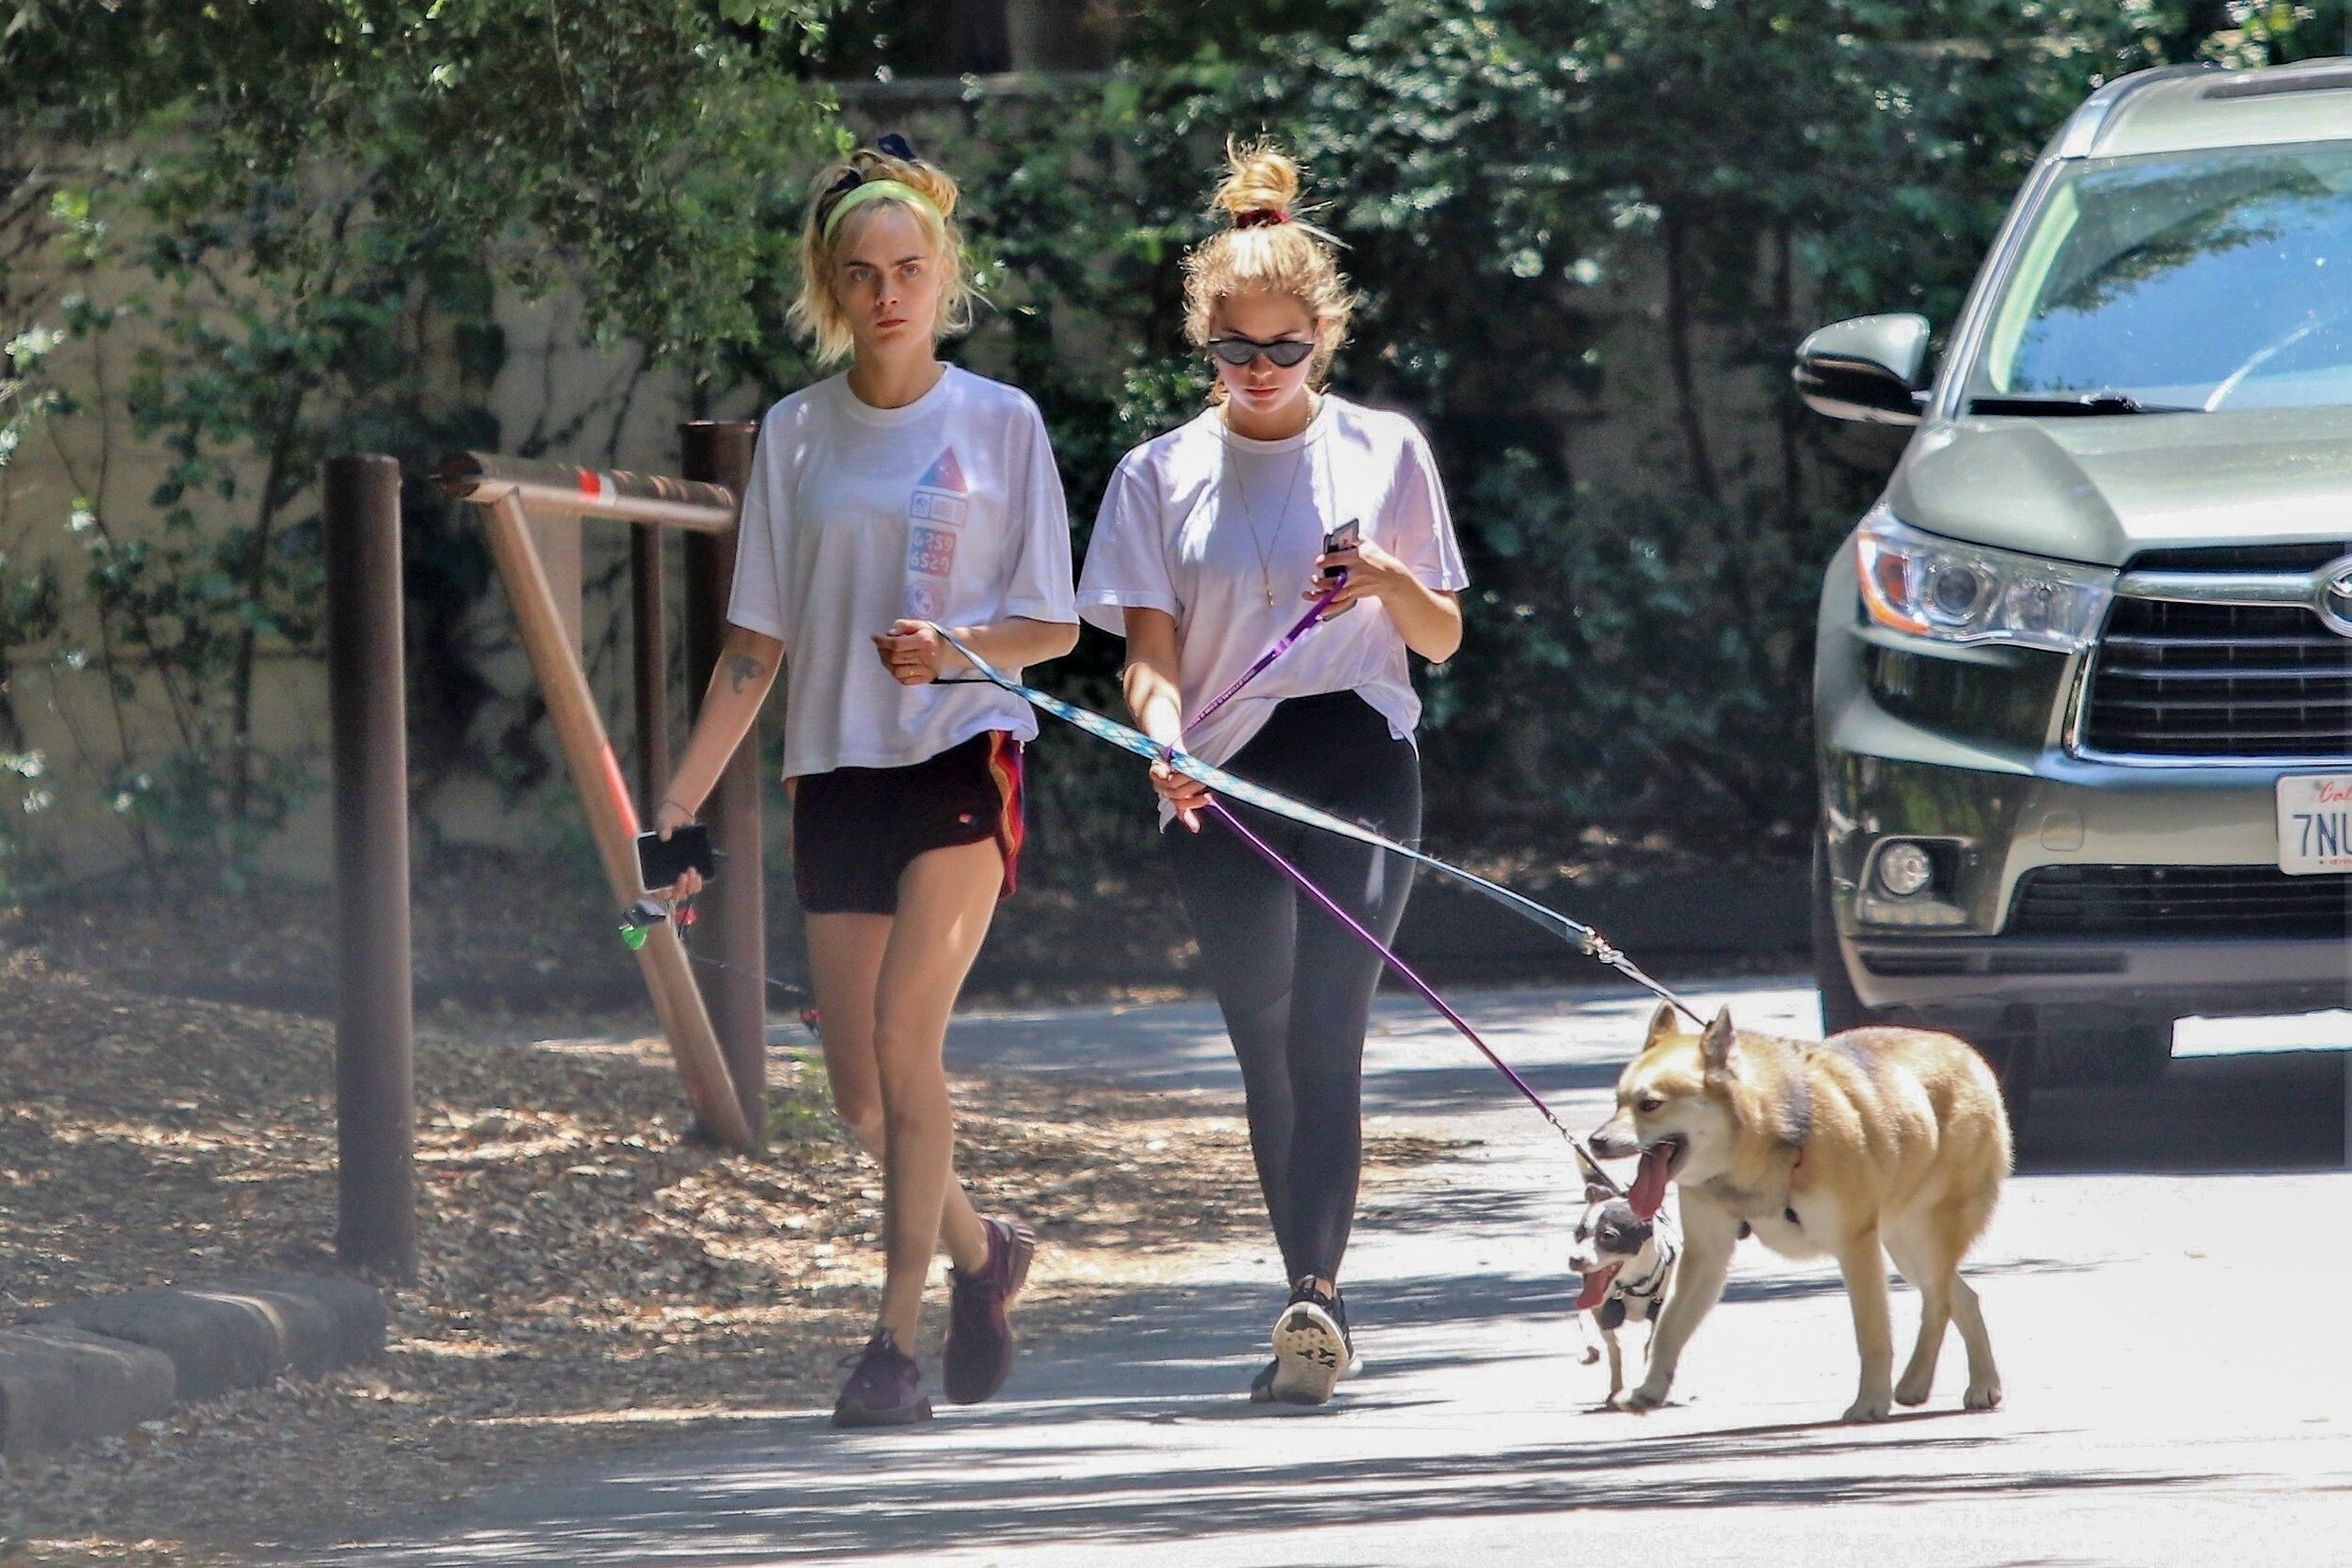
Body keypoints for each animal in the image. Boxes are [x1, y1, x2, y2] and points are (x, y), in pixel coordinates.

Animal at [1568, 1180, 1678, 1406]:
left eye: (1608, 1237)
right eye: (1577, 1234)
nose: (1574, 1259)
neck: (1633, 1285)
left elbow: (1651, 1345)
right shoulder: (1600, 1308)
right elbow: (1610, 1344)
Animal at [1589, 1003, 2011, 1422]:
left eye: (1650, 1104)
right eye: (1618, 1101)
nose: (1595, 1141)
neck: (1760, 1141)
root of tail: (1966, 1053)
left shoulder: (1856, 1247)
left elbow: (1872, 1335)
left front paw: (1871, 1401)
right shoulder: (1707, 1256)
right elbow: (1669, 1329)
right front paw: (1650, 1389)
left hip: (1927, 1236)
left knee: (1937, 1305)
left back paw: (1916, 1383)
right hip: (1906, 1246)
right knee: (1963, 1299)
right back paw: (1982, 1385)